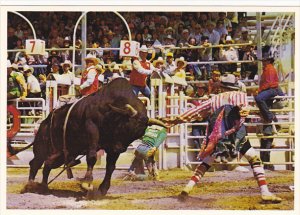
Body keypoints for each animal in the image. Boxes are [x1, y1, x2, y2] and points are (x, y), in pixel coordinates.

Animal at [22, 78, 165, 196]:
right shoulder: (92, 129)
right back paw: (30, 184)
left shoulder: (112, 148)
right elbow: (91, 157)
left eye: (138, 135)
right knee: (35, 163)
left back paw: (43, 187)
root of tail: (43, 123)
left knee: (47, 165)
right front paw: (87, 183)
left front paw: (103, 188)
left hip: (62, 154)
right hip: (42, 148)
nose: (120, 149)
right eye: (126, 126)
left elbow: (110, 166)